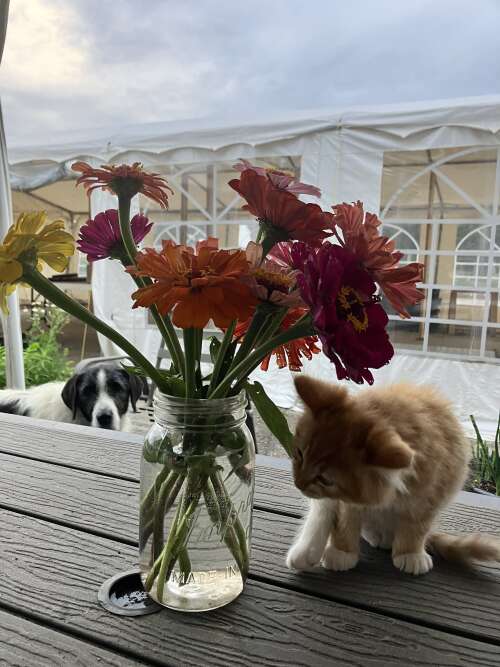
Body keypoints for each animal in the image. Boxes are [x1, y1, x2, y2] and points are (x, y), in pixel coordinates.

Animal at [286, 378, 500, 576]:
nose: (298, 484)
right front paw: (342, 551)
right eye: (299, 454)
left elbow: (418, 526)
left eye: (325, 479)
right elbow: (345, 520)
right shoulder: (346, 500)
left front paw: (410, 553)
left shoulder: (431, 491)